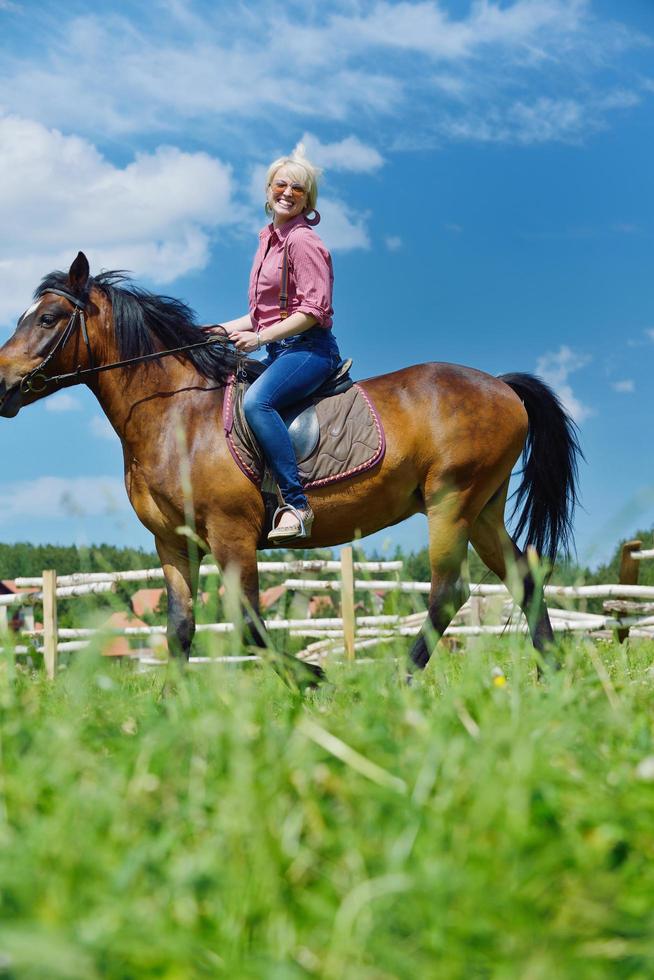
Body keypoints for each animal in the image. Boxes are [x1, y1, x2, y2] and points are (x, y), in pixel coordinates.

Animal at [0, 256, 580, 676]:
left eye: (48, 319)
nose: (1, 384)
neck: (176, 414)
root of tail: (502, 387)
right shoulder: (173, 542)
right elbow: (180, 630)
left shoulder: (231, 535)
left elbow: (249, 626)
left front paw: (314, 679)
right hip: (482, 507)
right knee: (524, 578)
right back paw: (552, 679)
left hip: (452, 501)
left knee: (448, 592)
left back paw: (400, 680)